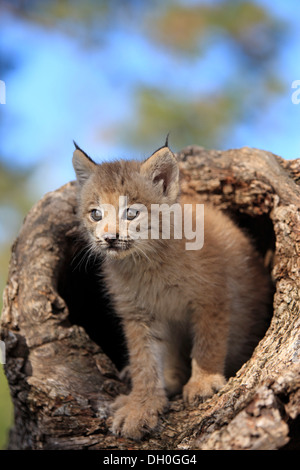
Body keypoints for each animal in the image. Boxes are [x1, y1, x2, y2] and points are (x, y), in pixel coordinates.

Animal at [72, 141, 270, 438]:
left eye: (131, 212)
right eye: (95, 214)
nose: (109, 238)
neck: (147, 260)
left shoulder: (211, 295)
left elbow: (208, 342)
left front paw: (203, 382)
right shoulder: (137, 314)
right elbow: (144, 361)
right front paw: (141, 406)